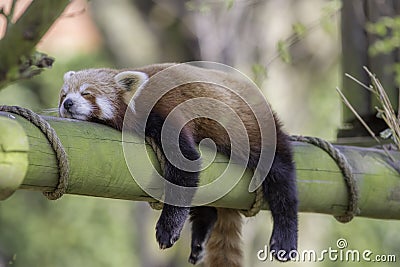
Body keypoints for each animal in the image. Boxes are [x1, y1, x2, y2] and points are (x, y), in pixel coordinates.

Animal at [57, 62, 298, 266]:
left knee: (281, 176)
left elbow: (185, 167)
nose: (67, 103)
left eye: (86, 93)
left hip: (255, 129)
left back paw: (285, 237)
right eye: (63, 95)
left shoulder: (166, 110)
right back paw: (201, 235)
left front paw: (168, 228)